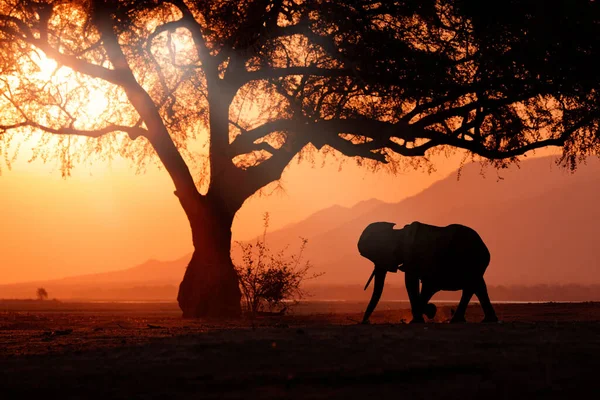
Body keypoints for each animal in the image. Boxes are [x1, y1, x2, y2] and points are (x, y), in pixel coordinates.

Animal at [358, 222, 500, 324]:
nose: (365, 322)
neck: (401, 233)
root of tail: (484, 246)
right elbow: (413, 283)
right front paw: (424, 314)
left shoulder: (418, 256)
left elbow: (418, 283)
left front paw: (424, 314)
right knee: (476, 286)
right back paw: (481, 320)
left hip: (473, 261)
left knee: (472, 286)